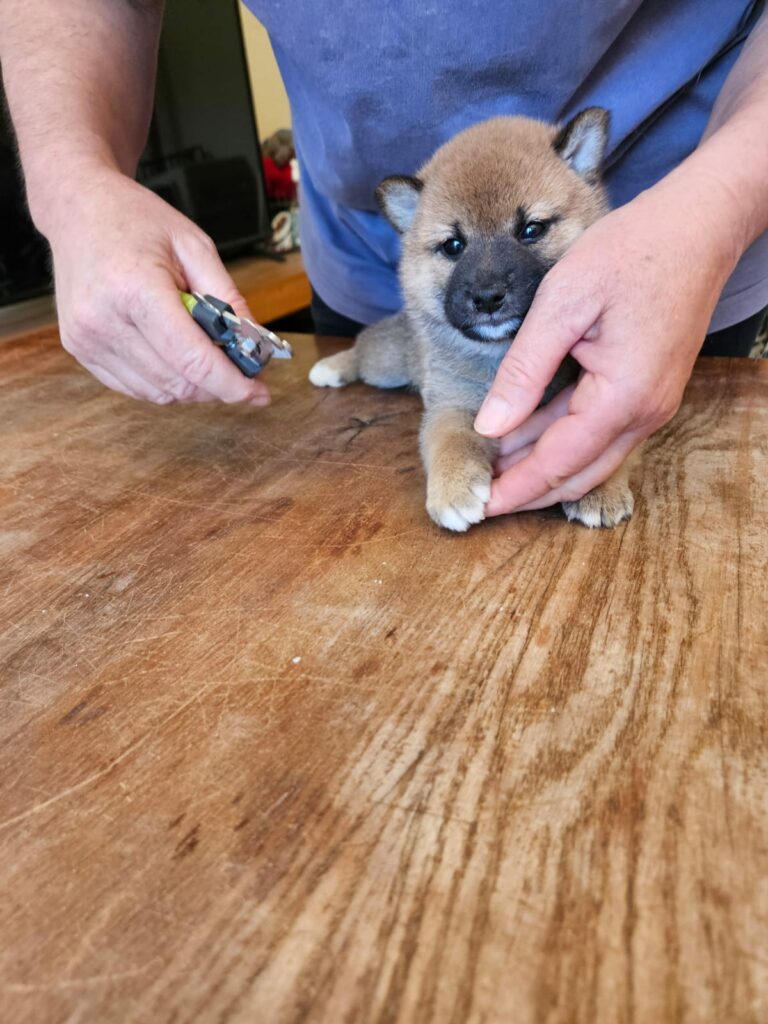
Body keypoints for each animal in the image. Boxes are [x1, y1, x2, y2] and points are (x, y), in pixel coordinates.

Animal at [309, 109, 638, 532]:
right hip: (385, 365)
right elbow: (449, 439)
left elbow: (614, 448)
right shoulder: (452, 404)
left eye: (531, 229)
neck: (502, 351)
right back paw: (330, 367)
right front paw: (453, 487)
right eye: (453, 245)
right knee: (361, 349)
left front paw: (600, 486)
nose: (486, 297)